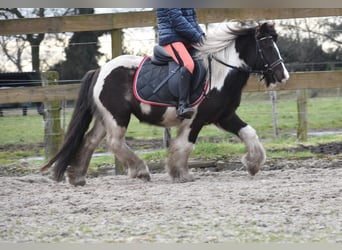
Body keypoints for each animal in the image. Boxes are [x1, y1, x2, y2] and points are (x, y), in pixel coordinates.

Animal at [42, 21, 288, 186]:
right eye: (267, 47)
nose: (283, 75)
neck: (219, 73)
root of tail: (100, 70)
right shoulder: (195, 120)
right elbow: (185, 145)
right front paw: (180, 173)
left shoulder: (224, 116)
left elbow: (249, 133)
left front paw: (253, 164)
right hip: (117, 116)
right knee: (114, 142)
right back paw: (140, 170)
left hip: (106, 117)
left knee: (91, 141)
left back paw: (77, 177)